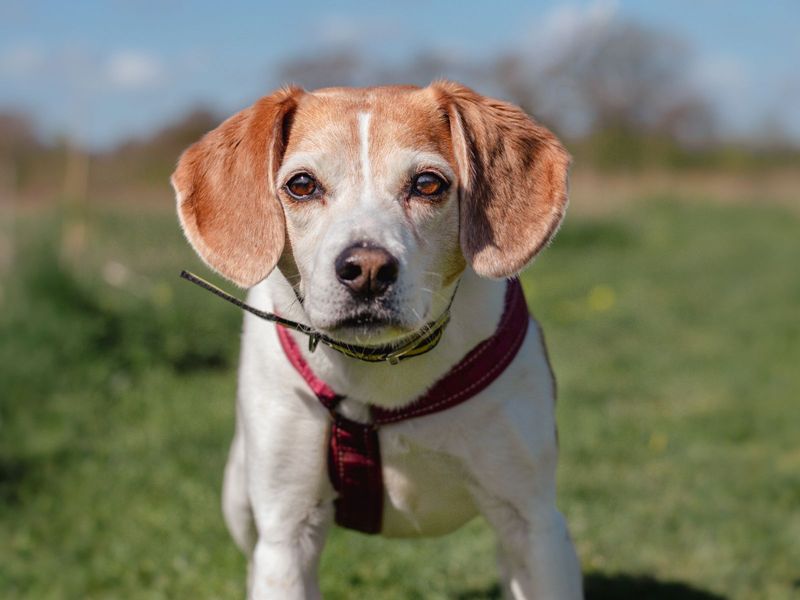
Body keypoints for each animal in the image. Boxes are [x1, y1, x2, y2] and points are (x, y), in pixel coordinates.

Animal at [172, 81, 580, 600]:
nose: (366, 269)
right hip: (239, 501)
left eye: (428, 184)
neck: (380, 366)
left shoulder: (534, 523)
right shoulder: (286, 531)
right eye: (301, 185)